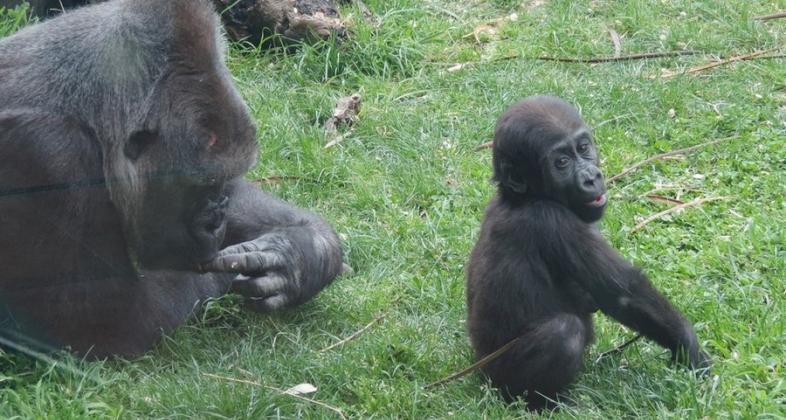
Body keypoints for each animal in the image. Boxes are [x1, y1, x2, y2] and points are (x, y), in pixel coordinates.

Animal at [0, 0, 344, 358]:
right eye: (200, 188)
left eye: (219, 184)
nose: (216, 218)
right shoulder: (48, 151)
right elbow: (109, 323)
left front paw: (299, 255)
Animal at [466, 96, 712, 410]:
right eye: (561, 162)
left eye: (583, 148)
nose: (591, 178)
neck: (522, 196)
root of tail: (479, 370)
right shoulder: (550, 220)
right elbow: (623, 293)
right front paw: (687, 346)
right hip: (498, 379)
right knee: (564, 332)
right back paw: (546, 403)